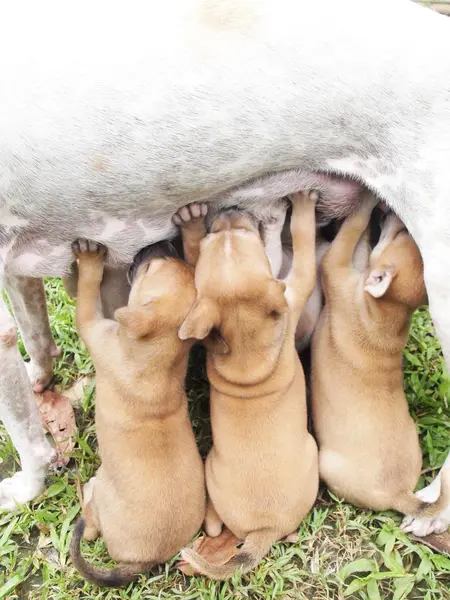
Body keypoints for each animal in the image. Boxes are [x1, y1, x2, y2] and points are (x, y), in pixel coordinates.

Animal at [69, 239, 206, 584]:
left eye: (150, 268)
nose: (163, 242)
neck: (161, 360)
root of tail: (144, 561)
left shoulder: (92, 325)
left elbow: (88, 291)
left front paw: (89, 261)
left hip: (101, 490)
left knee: (90, 528)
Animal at [174, 195, 318, 580]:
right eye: (248, 236)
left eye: (218, 238)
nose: (228, 211)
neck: (245, 343)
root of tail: (265, 529)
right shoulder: (293, 286)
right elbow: (303, 243)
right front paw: (302, 208)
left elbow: (191, 260)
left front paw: (190, 225)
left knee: (214, 526)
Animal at [312, 192, 448, 516]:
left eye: (399, 234)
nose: (396, 215)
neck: (391, 313)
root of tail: (400, 495)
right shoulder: (356, 262)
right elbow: (361, 242)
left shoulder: (335, 266)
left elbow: (351, 229)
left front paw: (363, 202)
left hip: (326, 464)